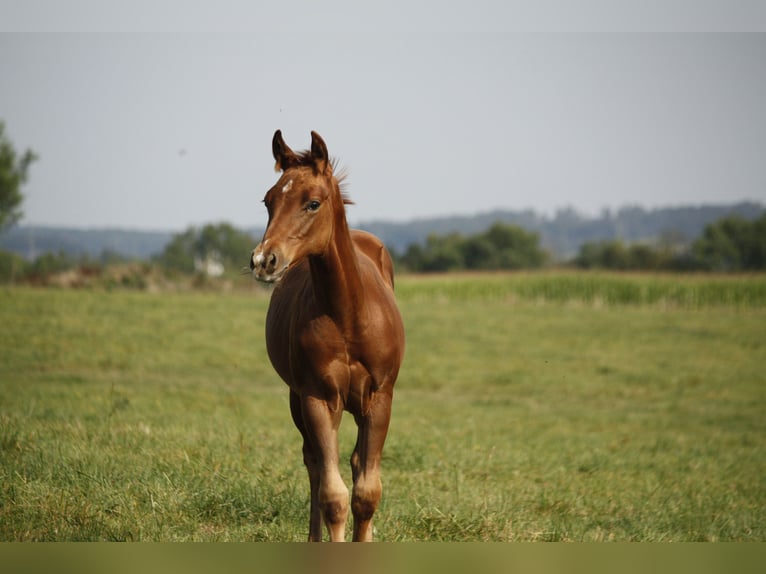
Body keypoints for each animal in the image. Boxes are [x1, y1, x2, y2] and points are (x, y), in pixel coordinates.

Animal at [252, 130, 408, 544]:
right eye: (268, 200)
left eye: (312, 203)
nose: (264, 260)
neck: (349, 315)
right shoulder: (318, 397)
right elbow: (333, 495)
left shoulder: (380, 397)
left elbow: (366, 492)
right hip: (298, 398)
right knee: (314, 464)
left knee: (353, 464)